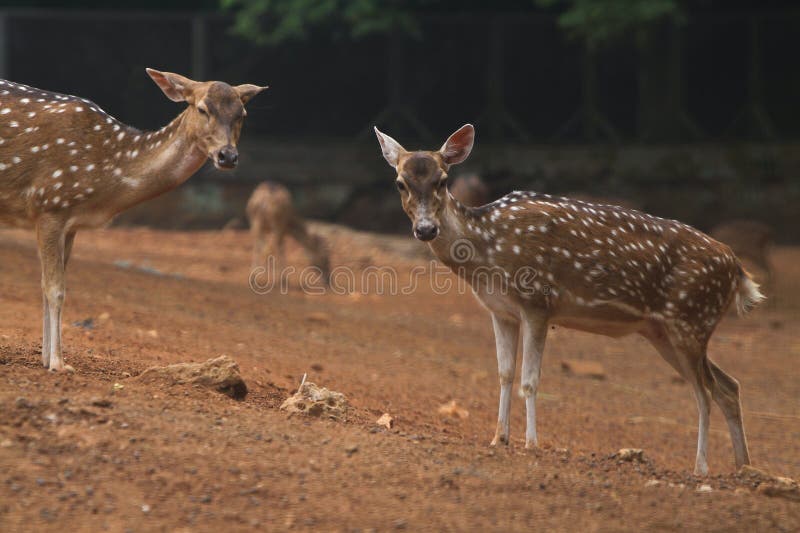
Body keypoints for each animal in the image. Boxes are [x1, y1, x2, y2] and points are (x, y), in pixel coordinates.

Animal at [0, 69, 268, 370]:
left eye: (242, 113)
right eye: (202, 108)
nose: (227, 156)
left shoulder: (70, 224)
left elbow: (48, 286)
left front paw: (46, 358)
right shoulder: (50, 204)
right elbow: (55, 289)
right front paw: (58, 363)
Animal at [374, 123, 764, 474]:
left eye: (442, 180)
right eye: (400, 183)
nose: (426, 229)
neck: (487, 254)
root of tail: (739, 272)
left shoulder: (538, 301)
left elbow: (529, 380)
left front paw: (531, 444)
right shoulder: (501, 311)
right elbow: (504, 373)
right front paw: (498, 437)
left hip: (691, 318)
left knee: (705, 392)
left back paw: (702, 468)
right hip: (665, 331)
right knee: (728, 385)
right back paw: (743, 468)